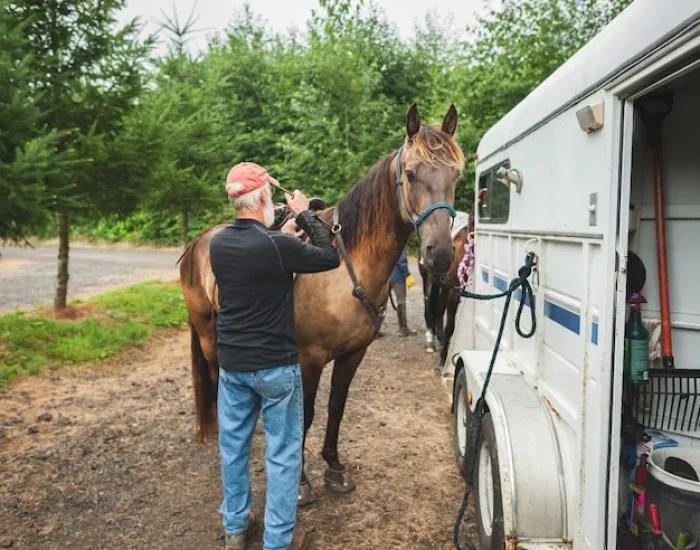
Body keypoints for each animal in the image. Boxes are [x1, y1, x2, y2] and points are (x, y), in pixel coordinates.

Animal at [177, 103, 465, 506]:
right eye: (410, 173)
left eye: (456, 174)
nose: (439, 254)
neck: (343, 268)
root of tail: (198, 242)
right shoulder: (309, 358)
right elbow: (307, 413)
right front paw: (300, 482)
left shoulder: (353, 354)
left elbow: (336, 407)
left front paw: (334, 467)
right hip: (207, 334)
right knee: (219, 380)